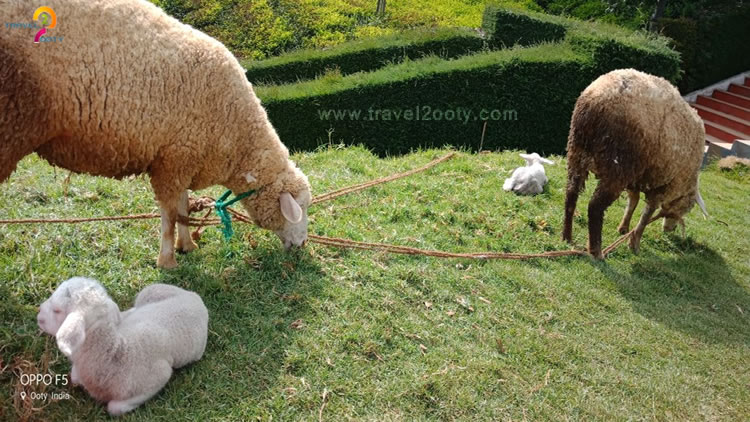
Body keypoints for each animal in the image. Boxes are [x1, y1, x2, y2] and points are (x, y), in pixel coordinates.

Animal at [0, 0, 312, 268]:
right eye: (301, 208)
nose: (302, 245)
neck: (237, 138)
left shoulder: (183, 157)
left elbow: (183, 207)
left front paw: (187, 246)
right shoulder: (172, 160)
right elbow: (170, 215)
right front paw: (167, 260)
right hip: (11, 125)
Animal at [38, 276, 209, 416]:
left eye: (57, 310)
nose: (38, 315)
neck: (115, 355)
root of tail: (195, 297)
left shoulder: (160, 376)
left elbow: (114, 408)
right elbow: (74, 376)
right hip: (149, 292)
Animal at [564, 68, 712, 258]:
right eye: (688, 208)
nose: (669, 230)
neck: (686, 180)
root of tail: (597, 98)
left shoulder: (636, 178)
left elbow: (632, 202)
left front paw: (624, 228)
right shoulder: (661, 186)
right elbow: (646, 215)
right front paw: (634, 243)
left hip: (577, 150)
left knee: (571, 194)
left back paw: (566, 237)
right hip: (619, 165)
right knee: (595, 207)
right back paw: (596, 251)